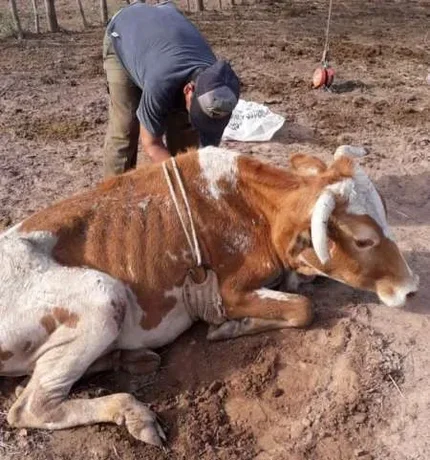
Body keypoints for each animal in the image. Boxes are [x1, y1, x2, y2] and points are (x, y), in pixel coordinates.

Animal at [0, 145, 418, 446]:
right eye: (363, 239)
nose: (412, 286)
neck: (254, 209)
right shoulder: (228, 293)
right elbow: (303, 309)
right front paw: (231, 328)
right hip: (103, 297)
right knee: (30, 408)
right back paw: (133, 412)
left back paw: (131, 358)